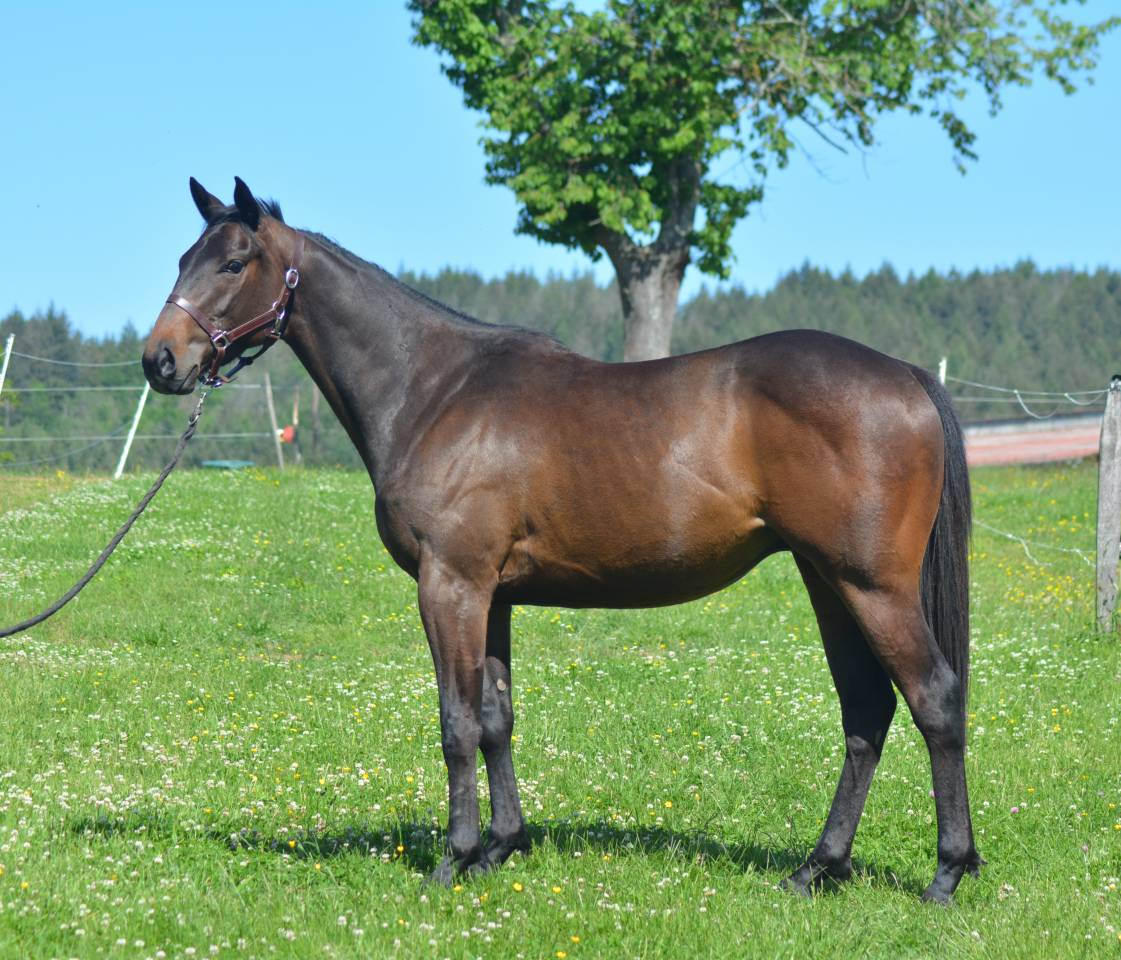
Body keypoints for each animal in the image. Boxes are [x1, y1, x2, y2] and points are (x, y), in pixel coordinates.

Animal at [142, 178, 982, 902]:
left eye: (233, 262)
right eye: (182, 258)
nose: (161, 360)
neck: (434, 391)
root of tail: (907, 376)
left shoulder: (450, 584)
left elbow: (455, 722)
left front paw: (453, 858)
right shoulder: (493, 596)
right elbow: (495, 720)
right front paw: (501, 847)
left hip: (871, 586)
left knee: (933, 701)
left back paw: (946, 873)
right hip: (827, 581)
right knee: (865, 713)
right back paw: (817, 868)